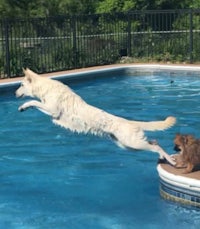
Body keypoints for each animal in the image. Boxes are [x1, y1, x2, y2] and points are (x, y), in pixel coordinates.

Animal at [16, 68, 177, 165]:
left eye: (21, 85)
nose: (15, 93)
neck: (46, 88)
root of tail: (130, 122)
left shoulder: (52, 110)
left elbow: (33, 101)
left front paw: (24, 106)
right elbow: (36, 103)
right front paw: (25, 107)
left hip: (133, 143)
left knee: (156, 146)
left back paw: (170, 160)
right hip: (127, 145)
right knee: (154, 142)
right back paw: (163, 157)